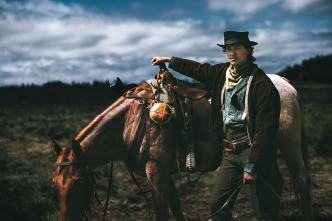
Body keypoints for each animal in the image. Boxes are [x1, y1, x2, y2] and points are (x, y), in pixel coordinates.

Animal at [51, 68, 312, 220]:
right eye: (54, 183)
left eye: (79, 181)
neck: (130, 123)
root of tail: (285, 83)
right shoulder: (163, 173)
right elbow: (175, 209)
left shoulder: (156, 171)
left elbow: (162, 212)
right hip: (265, 149)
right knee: (275, 182)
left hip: (288, 144)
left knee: (301, 181)